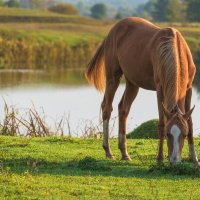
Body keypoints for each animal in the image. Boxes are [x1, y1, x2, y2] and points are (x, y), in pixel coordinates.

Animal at [85, 16, 197, 164]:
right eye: (168, 134)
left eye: (183, 134)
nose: (174, 160)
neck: (174, 48)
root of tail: (113, 30)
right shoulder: (160, 89)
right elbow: (161, 122)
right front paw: (160, 158)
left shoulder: (188, 88)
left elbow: (190, 122)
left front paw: (194, 158)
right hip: (113, 77)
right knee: (107, 108)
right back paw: (108, 151)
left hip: (132, 83)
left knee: (123, 108)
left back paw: (124, 153)